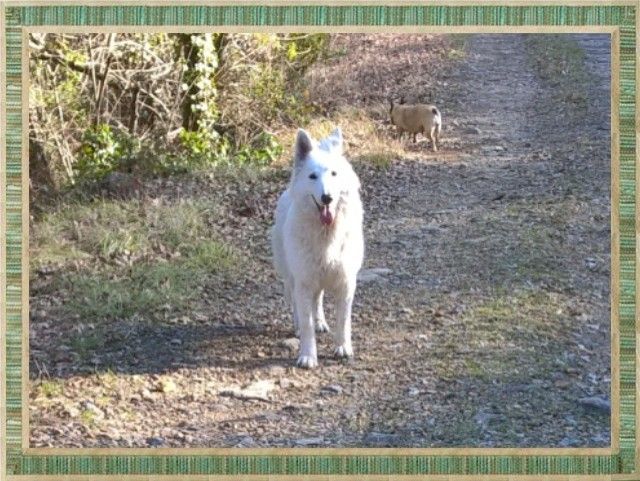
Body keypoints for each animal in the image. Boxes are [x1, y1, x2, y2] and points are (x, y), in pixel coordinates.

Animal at [272, 127, 364, 368]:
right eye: (312, 176)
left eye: (333, 174)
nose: (327, 198)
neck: (326, 234)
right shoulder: (304, 280)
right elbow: (306, 324)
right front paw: (308, 356)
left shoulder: (345, 282)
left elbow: (343, 320)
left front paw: (342, 347)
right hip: (293, 275)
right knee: (298, 303)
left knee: (319, 299)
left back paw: (321, 322)